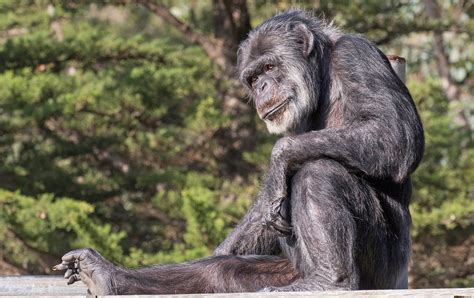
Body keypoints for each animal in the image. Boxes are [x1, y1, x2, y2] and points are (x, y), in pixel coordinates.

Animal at [53, 8, 424, 294]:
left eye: (270, 68)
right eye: (253, 77)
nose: (262, 87)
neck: (322, 74)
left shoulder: (356, 55)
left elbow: (395, 134)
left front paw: (278, 158)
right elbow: (263, 212)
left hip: (382, 271)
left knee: (320, 169)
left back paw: (328, 281)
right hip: (289, 269)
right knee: (219, 271)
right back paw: (105, 276)